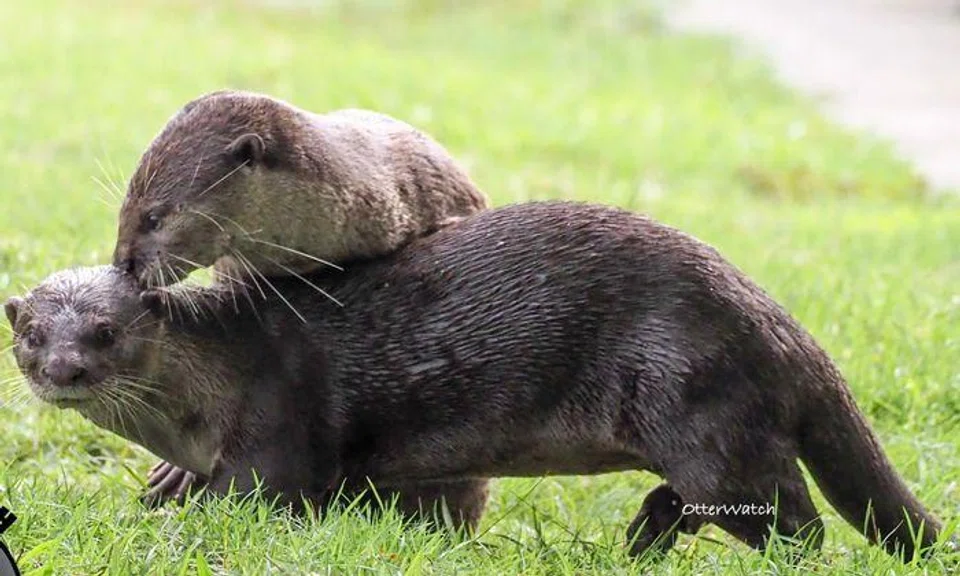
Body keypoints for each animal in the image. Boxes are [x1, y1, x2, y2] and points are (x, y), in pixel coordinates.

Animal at [7, 202, 949, 561]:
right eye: (30, 335)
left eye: (107, 330)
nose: (63, 369)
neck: (211, 386)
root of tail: (776, 320)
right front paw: (164, 485)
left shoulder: (279, 419)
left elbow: (257, 497)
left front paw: (179, 524)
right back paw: (641, 537)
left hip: (700, 400)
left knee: (791, 521)